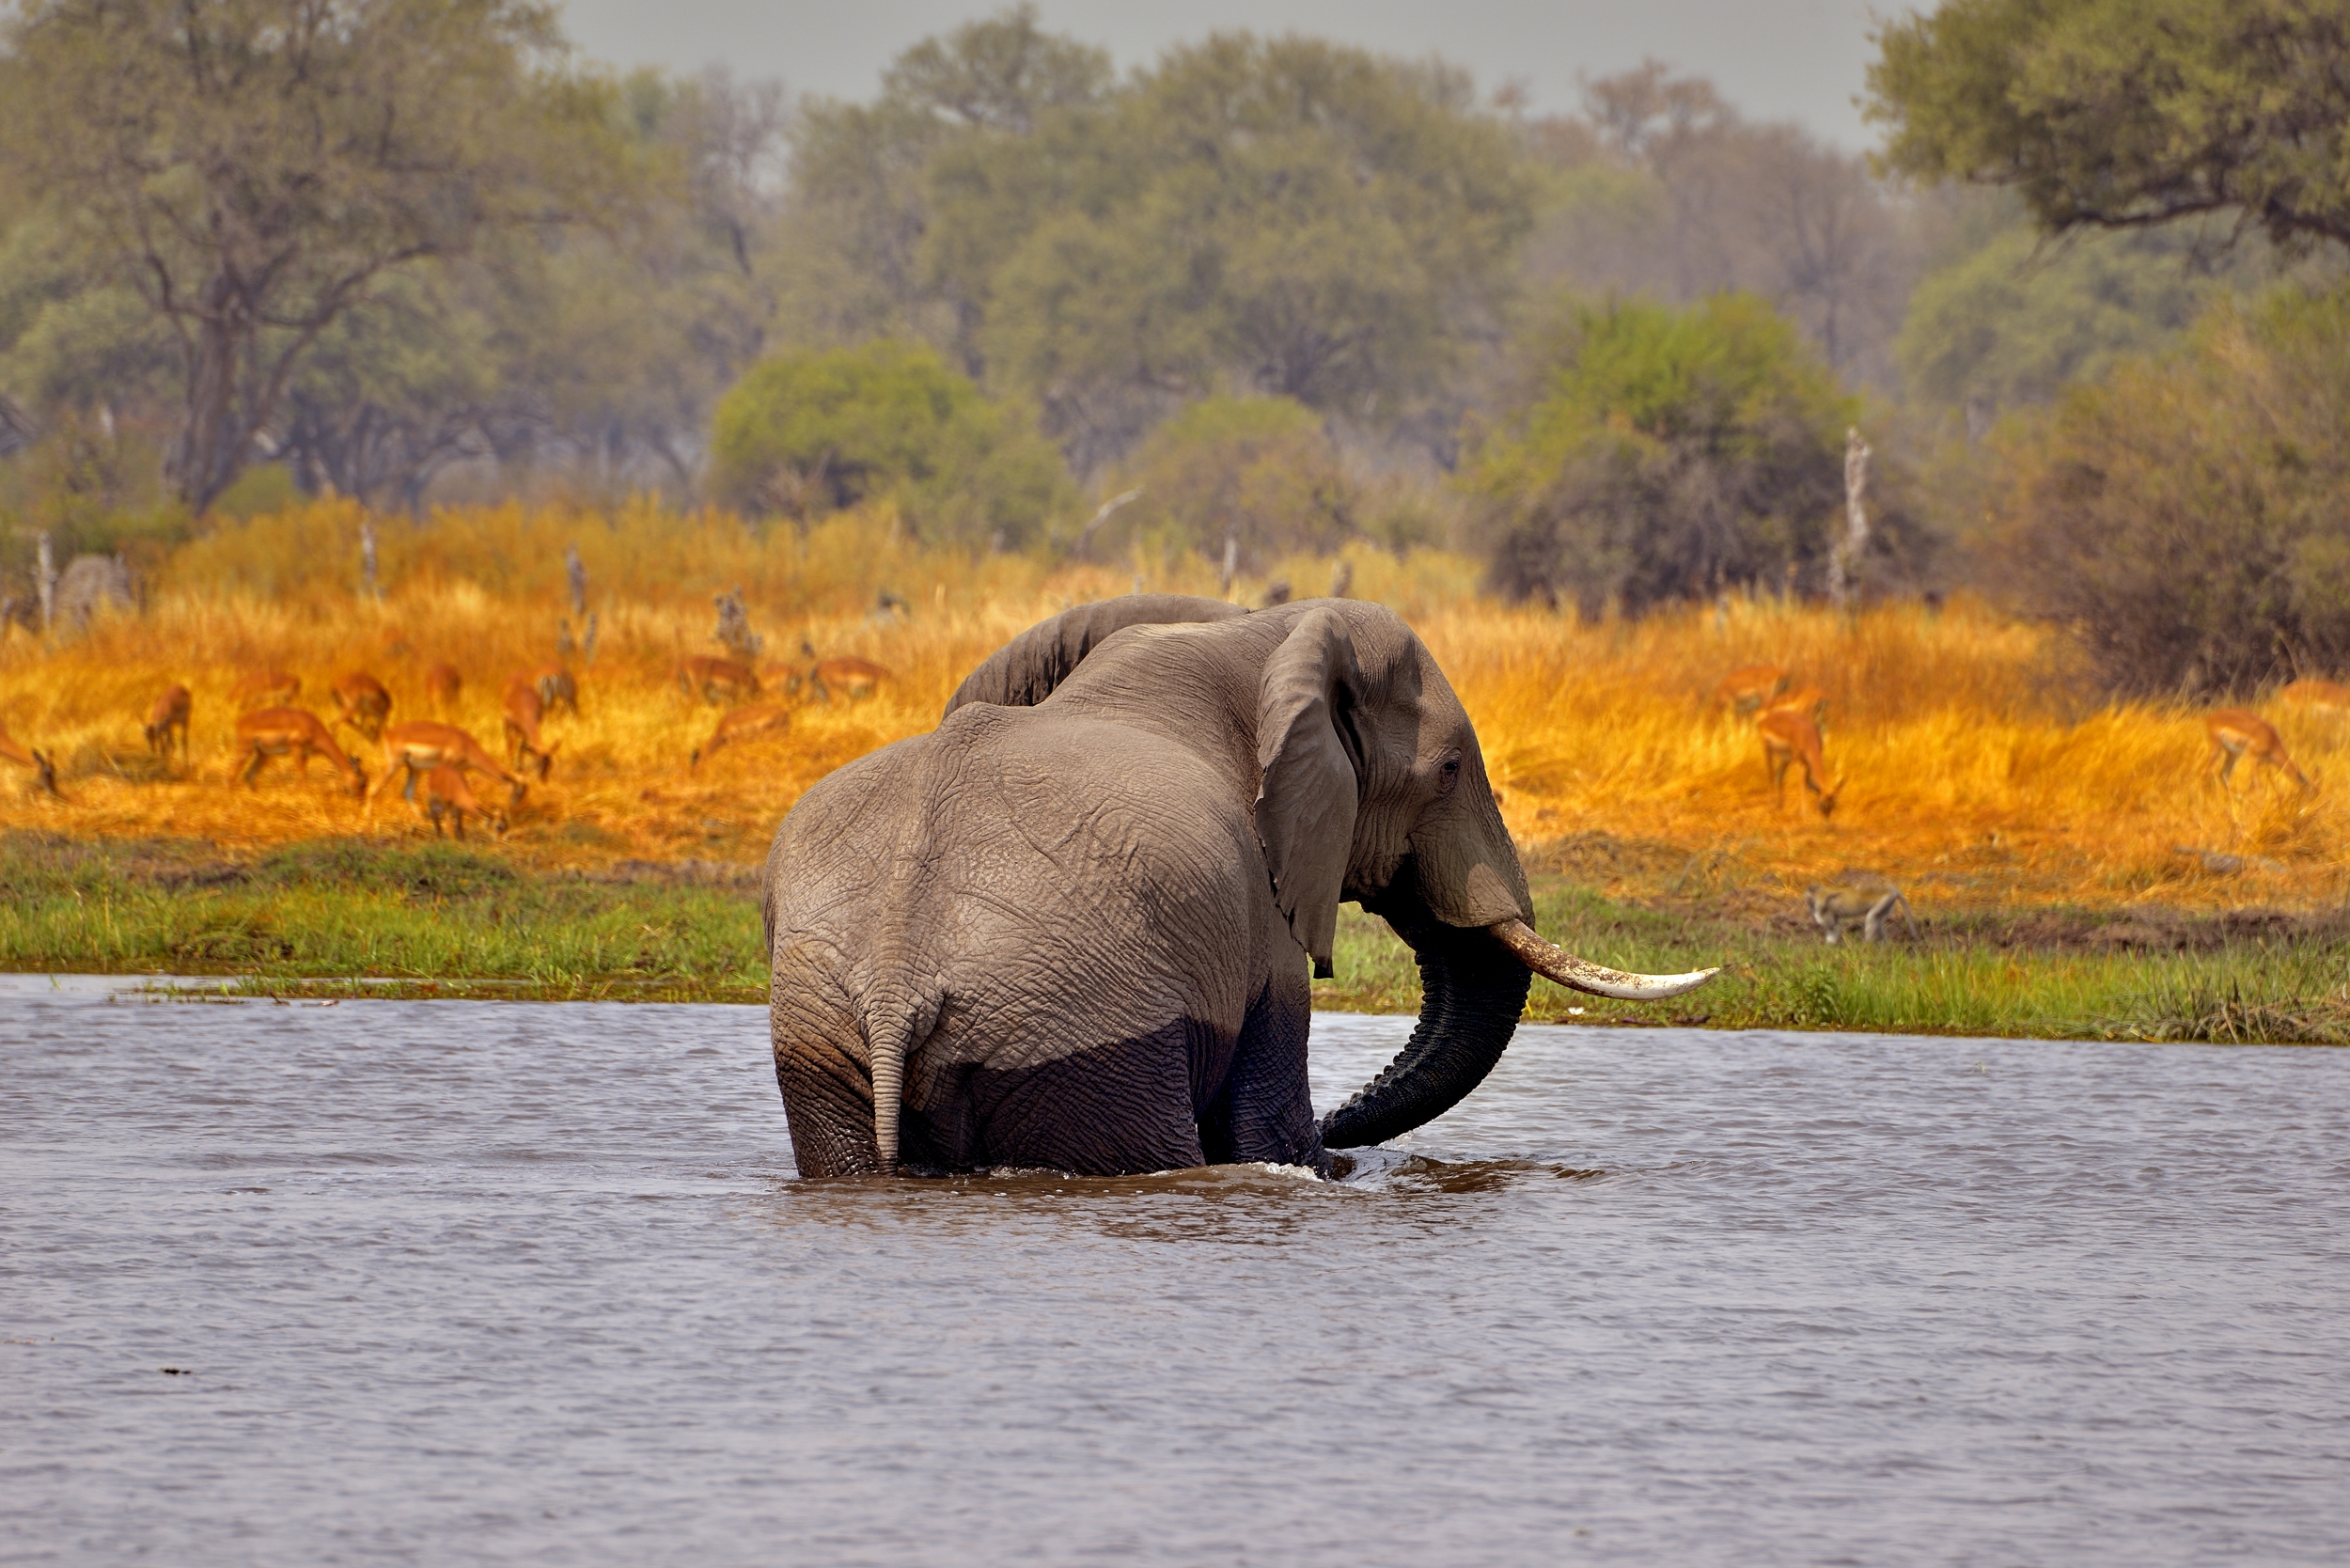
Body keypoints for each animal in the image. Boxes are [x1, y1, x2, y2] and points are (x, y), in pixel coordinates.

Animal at [760, 594, 1714, 1178]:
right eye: (1448, 772)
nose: (1342, 1129)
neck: (1251, 637)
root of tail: (895, 988)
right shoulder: (1261, 913)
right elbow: (1268, 1123)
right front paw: (1318, 1162)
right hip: (1087, 1035)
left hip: (823, 1045)